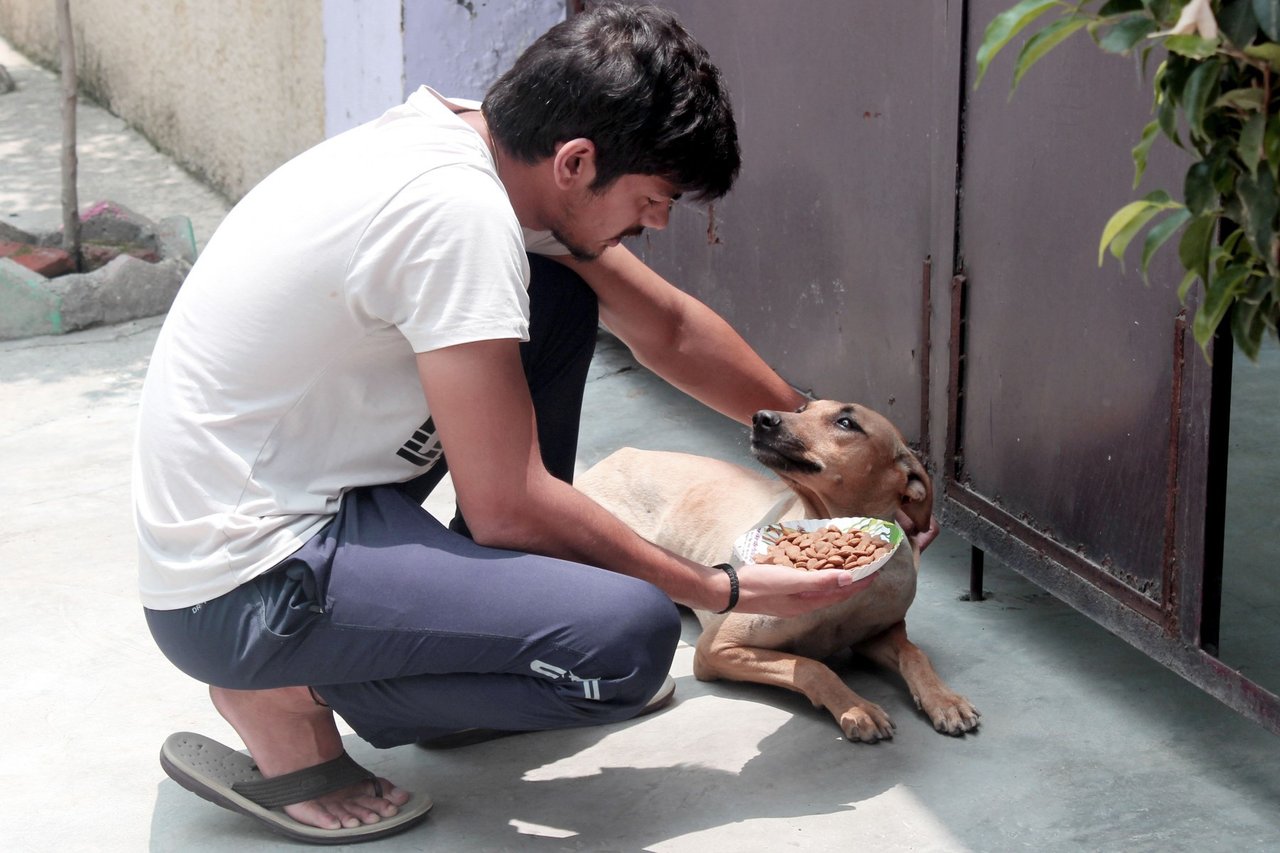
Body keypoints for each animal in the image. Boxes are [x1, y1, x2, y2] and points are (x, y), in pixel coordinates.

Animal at [581, 399, 977, 737]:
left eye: (846, 423)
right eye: (802, 409)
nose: (762, 417)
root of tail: (615, 457)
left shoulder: (878, 633)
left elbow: (914, 653)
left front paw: (944, 699)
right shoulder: (715, 648)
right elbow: (813, 667)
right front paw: (856, 706)